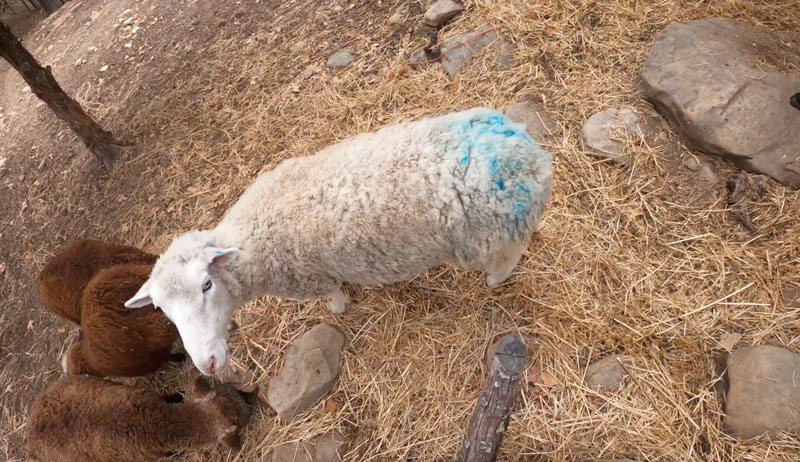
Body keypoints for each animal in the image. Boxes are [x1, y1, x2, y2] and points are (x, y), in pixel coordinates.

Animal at [124, 107, 554, 376]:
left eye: (206, 285)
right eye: (162, 310)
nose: (208, 365)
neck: (251, 239)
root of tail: (530, 155)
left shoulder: (308, 277)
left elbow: (332, 295)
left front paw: (339, 307)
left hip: (490, 233)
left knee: (509, 255)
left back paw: (495, 280)